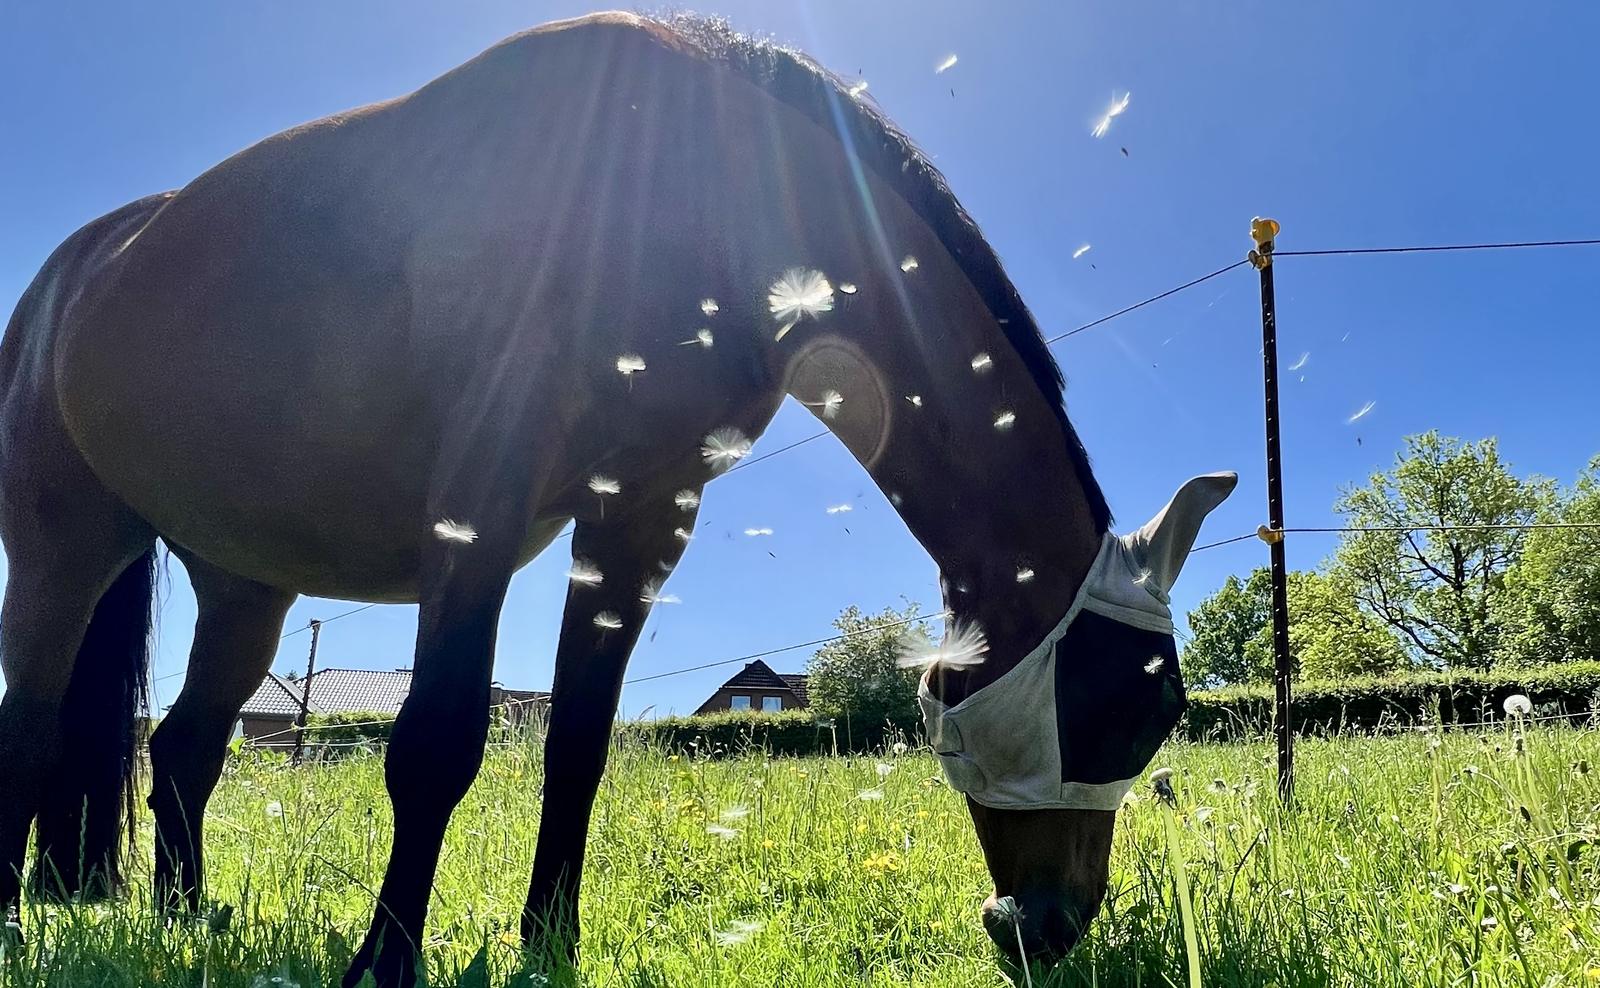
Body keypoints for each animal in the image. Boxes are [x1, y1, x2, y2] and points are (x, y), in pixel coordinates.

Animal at [0, 12, 1234, 985]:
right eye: (1133, 715)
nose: (1044, 927)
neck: (696, 188)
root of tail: (76, 275)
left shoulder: (641, 519)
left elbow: (579, 748)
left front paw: (550, 944)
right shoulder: (479, 505)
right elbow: (435, 743)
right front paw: (384, 962)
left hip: (244, 587)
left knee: (182, 751)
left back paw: (183, 925)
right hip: (60, 547)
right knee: (32, 723)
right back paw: (17, 929)